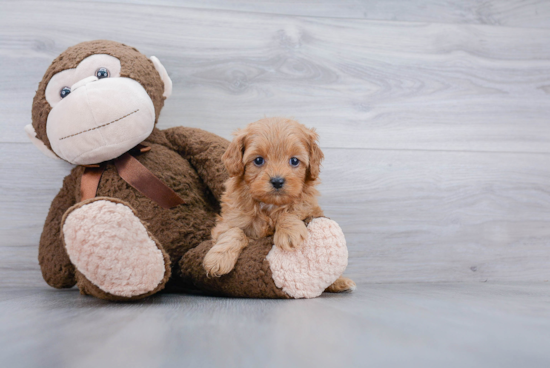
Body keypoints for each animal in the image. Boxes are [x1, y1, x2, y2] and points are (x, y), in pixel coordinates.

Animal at [205, 116, 356, 292]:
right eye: (258, 160)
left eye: (294, 161)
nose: (277, 181)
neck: (269, 205)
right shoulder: (227, 222)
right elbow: (234, 232)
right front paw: (218, 259)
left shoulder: (309, 207)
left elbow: (292, 209)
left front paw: (289, 232)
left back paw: (340, 282)